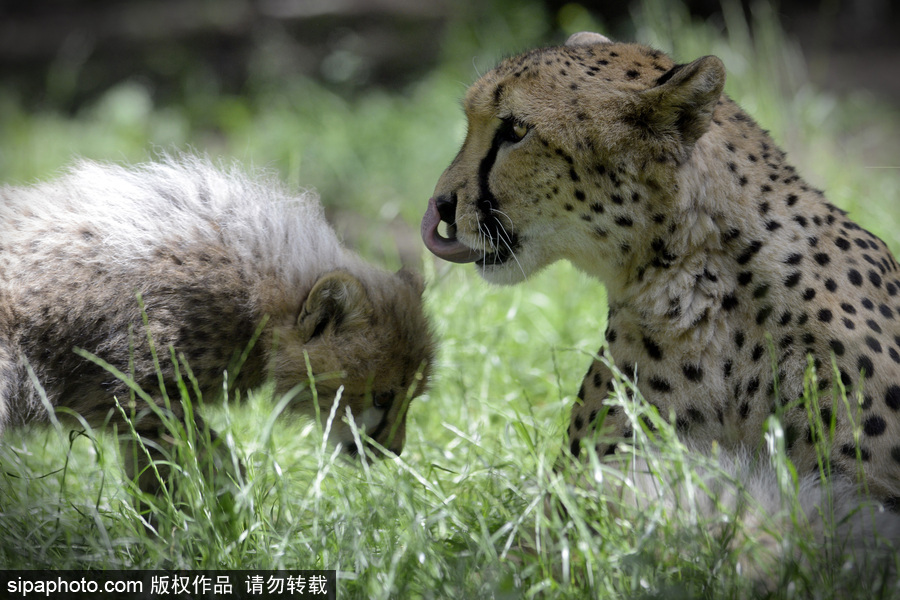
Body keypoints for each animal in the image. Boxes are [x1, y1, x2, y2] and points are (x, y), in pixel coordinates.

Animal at [0, 156, 436, 492]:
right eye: (382, 397)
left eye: (412, 396)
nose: (394, 450)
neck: (256, 287)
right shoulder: (139, 397)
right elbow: (215, 465)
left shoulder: (137, 411)